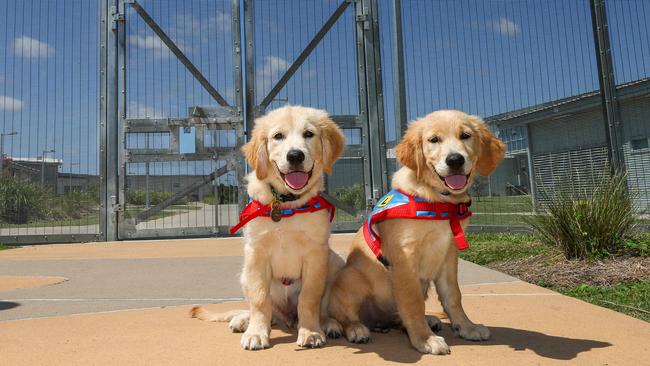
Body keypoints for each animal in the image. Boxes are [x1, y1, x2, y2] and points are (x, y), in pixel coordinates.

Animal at [191, 105, 344, 348]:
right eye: (278, 136)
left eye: (309, 134)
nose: (295, 156)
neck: (287, 204)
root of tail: (288, 319)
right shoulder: (256, 252)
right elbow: (260, 298)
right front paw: (256, 333)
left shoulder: (316, 253)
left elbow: (309, 297)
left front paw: (310, 332)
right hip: (244, 274)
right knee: (262, 309)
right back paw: (243, 320)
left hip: (335, 262)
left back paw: (328, 323)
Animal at [326, 109, 504, 354]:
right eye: (433, 140)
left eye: (465, 135)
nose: (455, 160)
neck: (437, 201)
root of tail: (378, 322)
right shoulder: (404, 258)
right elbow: (412, 302)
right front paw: (424, 339)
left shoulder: (448, 255)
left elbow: (453, 296)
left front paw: (466, 327)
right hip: (352, 277)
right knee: (343, 315)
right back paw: (354, 329)